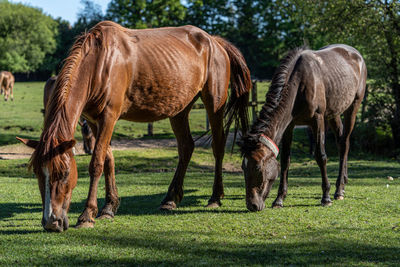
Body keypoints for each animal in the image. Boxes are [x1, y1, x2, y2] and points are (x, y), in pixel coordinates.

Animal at [18, 21, 252, 232]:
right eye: (38, 173)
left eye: (65, 173)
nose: (51, 222)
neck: (100, 62)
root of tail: (214, 41)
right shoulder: (95, 120)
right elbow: (108, 159)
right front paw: (108, 208)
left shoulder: (109, 117)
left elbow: (97, 162)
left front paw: (87, 215)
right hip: (179, 110)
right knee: (186, 147)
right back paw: (170, 199)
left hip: (214, 105)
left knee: (218, 147)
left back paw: (215, 197)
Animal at [239, 44, 368, 211]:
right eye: (243, 167)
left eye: (258, 168)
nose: (252, 205)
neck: (299, 83)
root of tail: (357, 54)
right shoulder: (289, 126)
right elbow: (285, 160)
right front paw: (279, 199)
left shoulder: (317, 120)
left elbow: (321, 156)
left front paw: (326, 197)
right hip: (334, 113)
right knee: (341, 144)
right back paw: (343, 184)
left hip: (353, 107)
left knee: (345, 143)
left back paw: (338, 189)